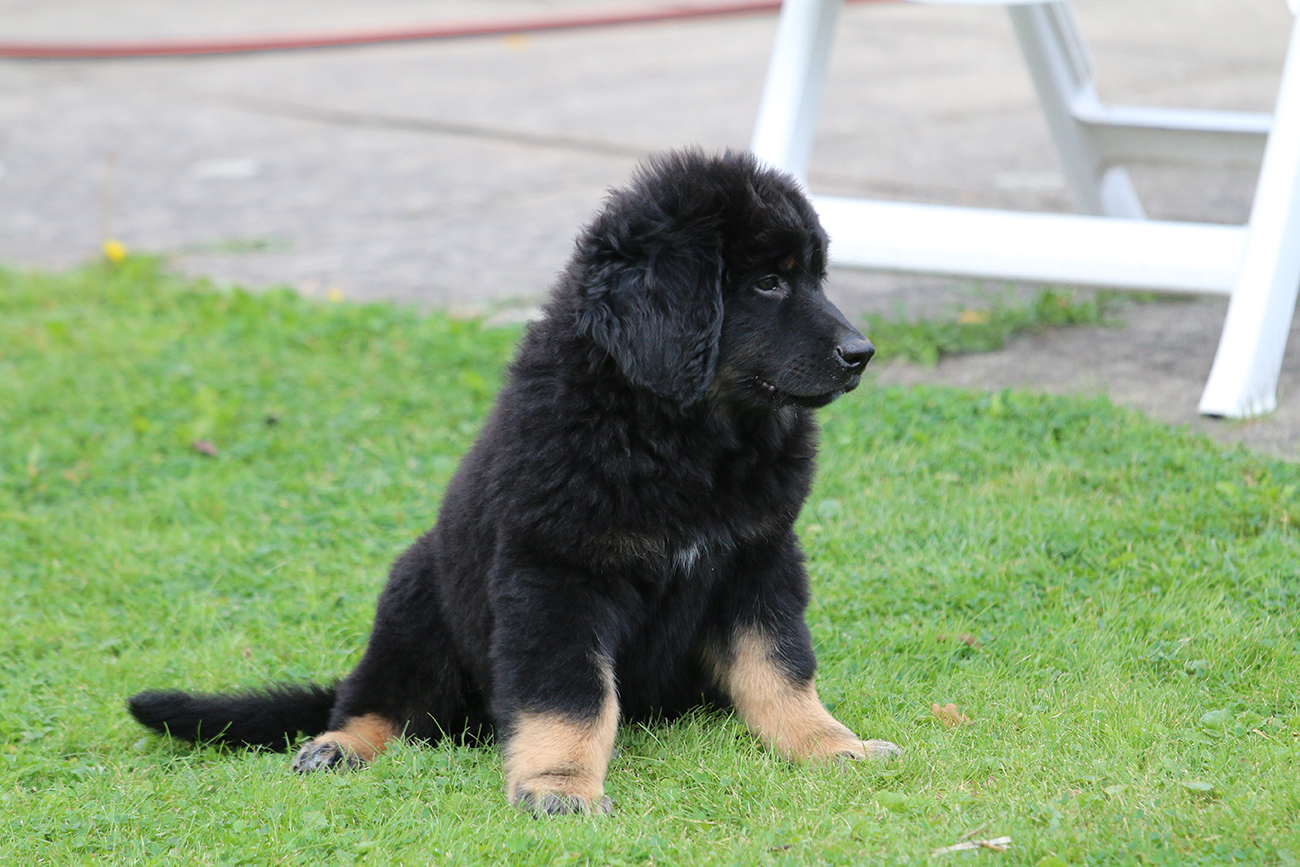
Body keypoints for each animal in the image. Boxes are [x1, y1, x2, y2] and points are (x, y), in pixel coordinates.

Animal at [128, 150, 900, 816]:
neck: (681, 435)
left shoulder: (758, 557)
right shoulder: (555, 576)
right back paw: (338, 744)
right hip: (415, 594)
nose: (861, 353)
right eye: (768, 281)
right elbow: (572, 696)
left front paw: (830, 744)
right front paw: (560, 785)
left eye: (816, 276)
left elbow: (780, 668)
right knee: (379, 699)